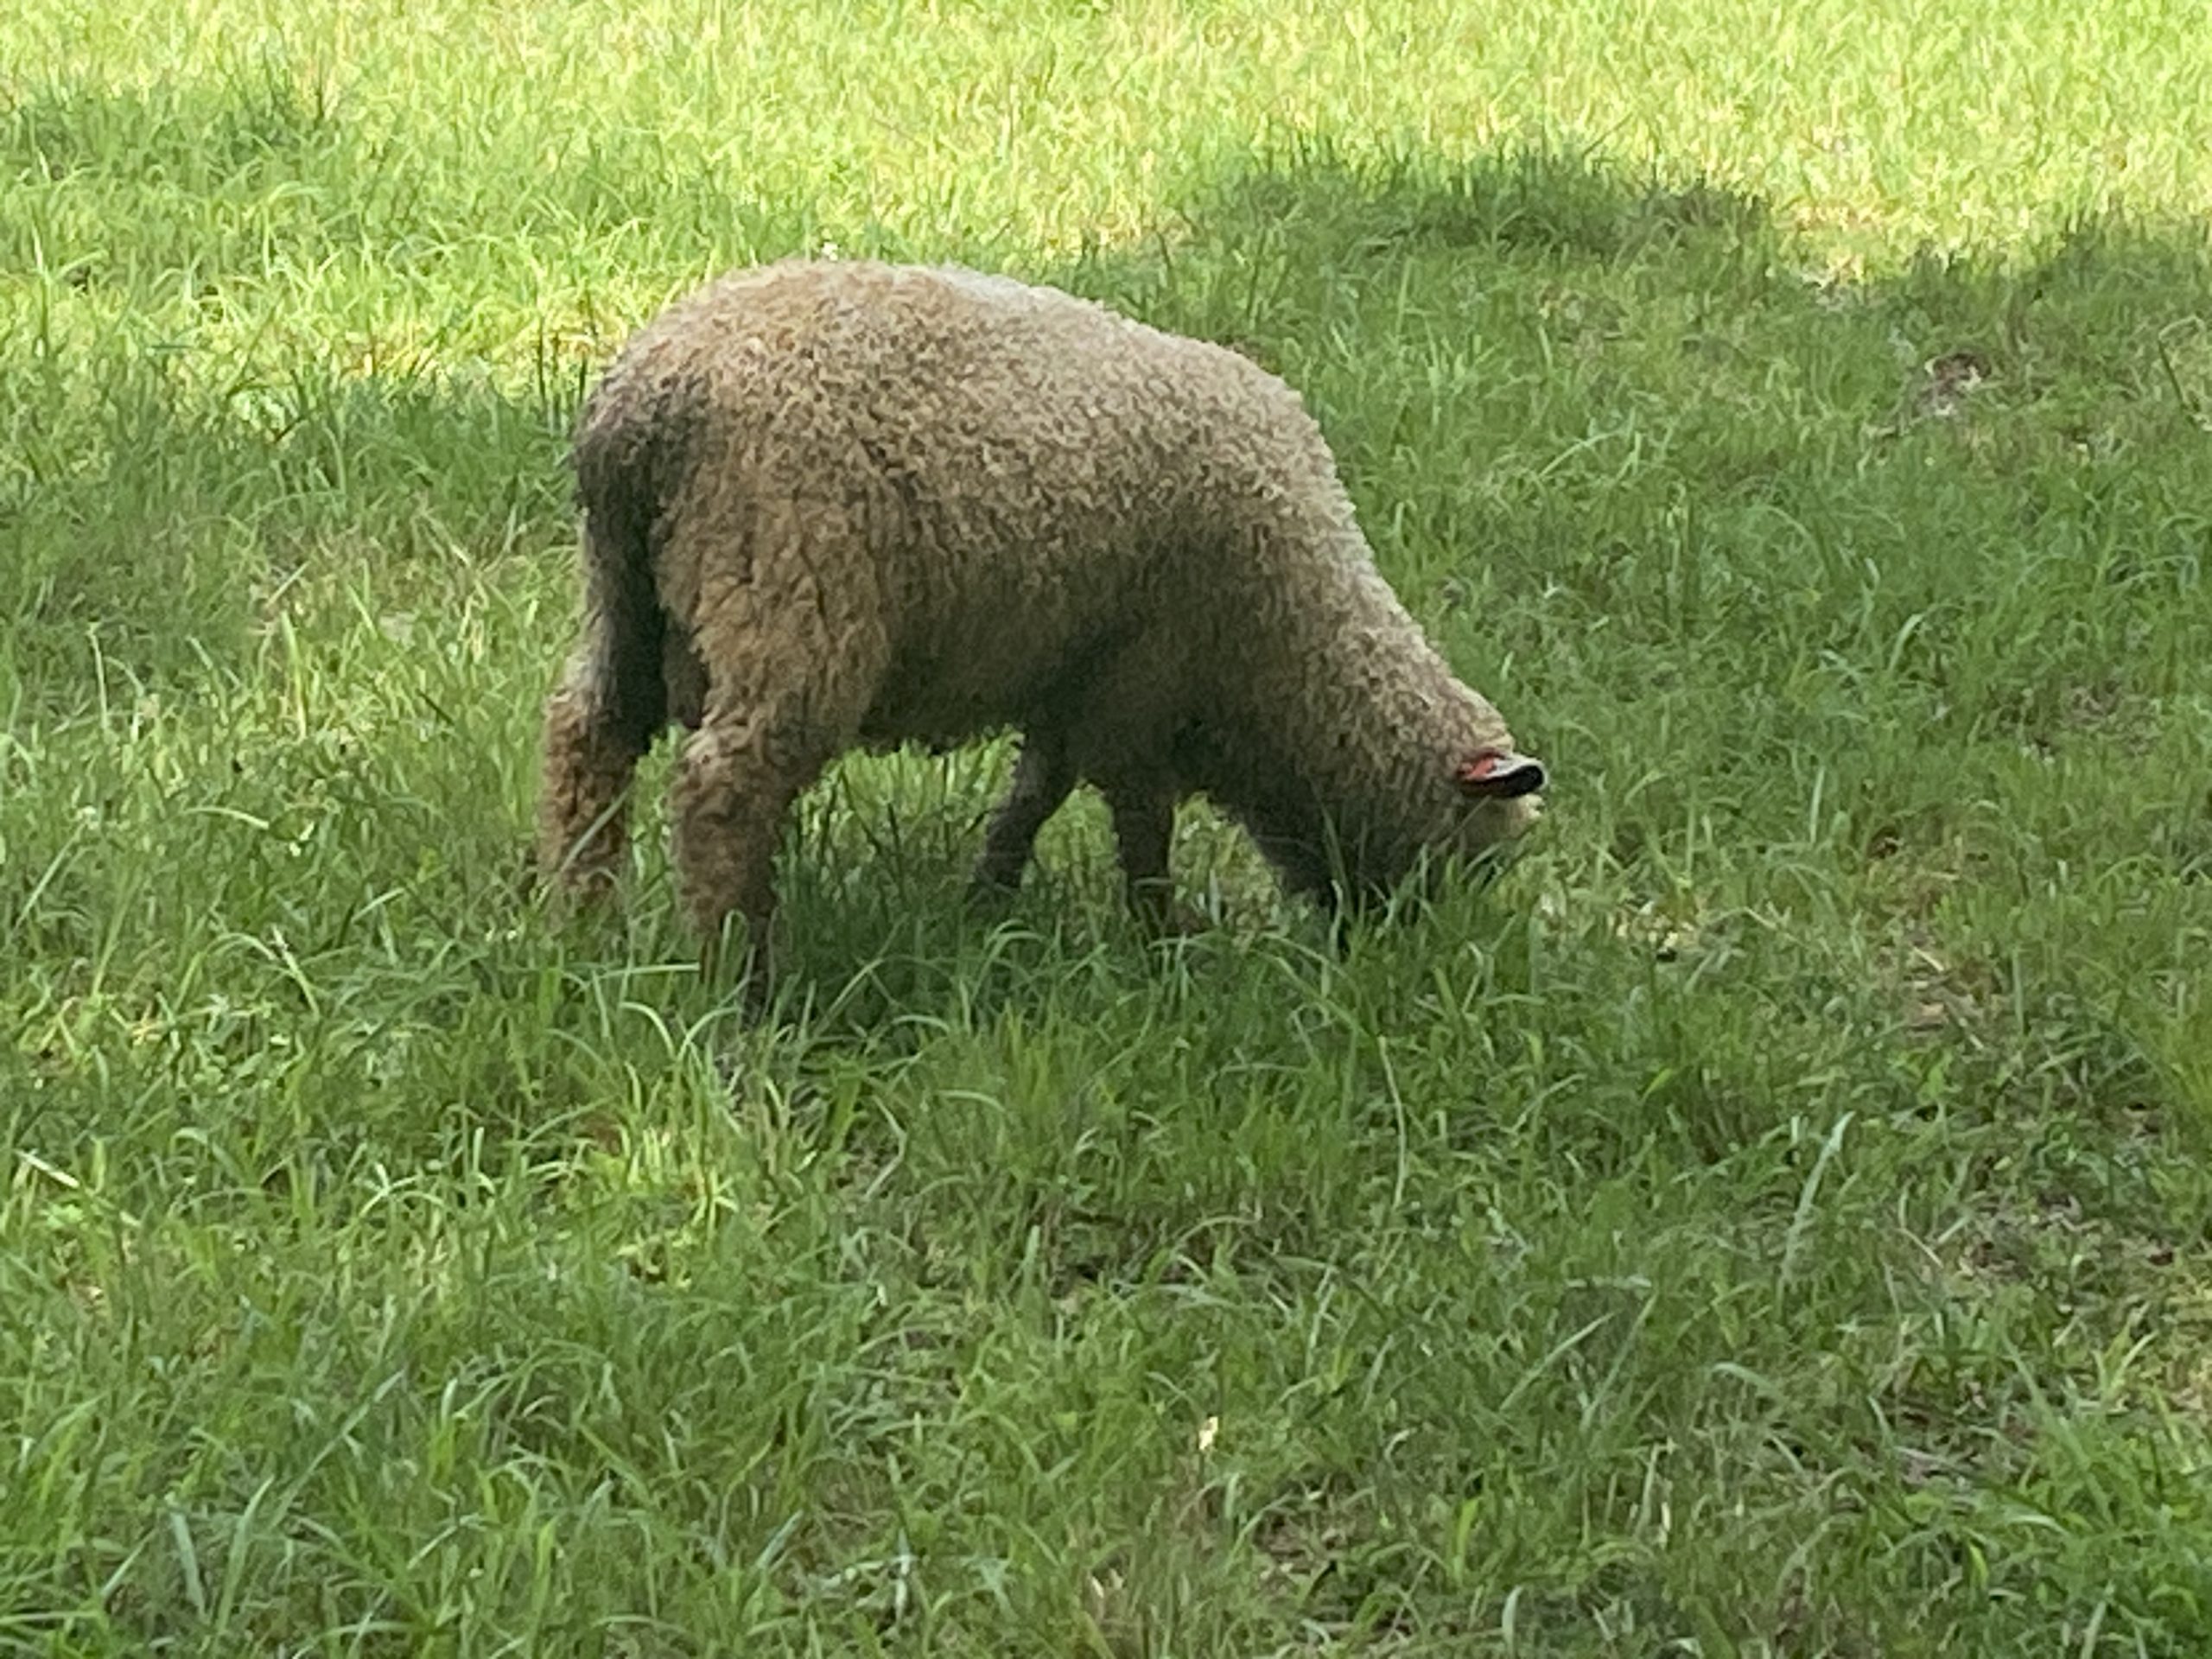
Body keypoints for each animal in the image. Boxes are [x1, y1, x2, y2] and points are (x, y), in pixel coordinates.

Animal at [538, 258, 1546, 990]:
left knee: (588, 737)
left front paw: (988, 899)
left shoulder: (1074, 676)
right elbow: (1141, 825)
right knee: (722, 791)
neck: (1293, 651)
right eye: (1475, 856)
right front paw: (1161, 942)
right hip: (793, 604)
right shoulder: (1143, 683)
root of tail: (644, 407)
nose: (1406, 957)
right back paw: (737, 980)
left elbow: (1034, 794)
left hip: (624, 599)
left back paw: (582, 918)